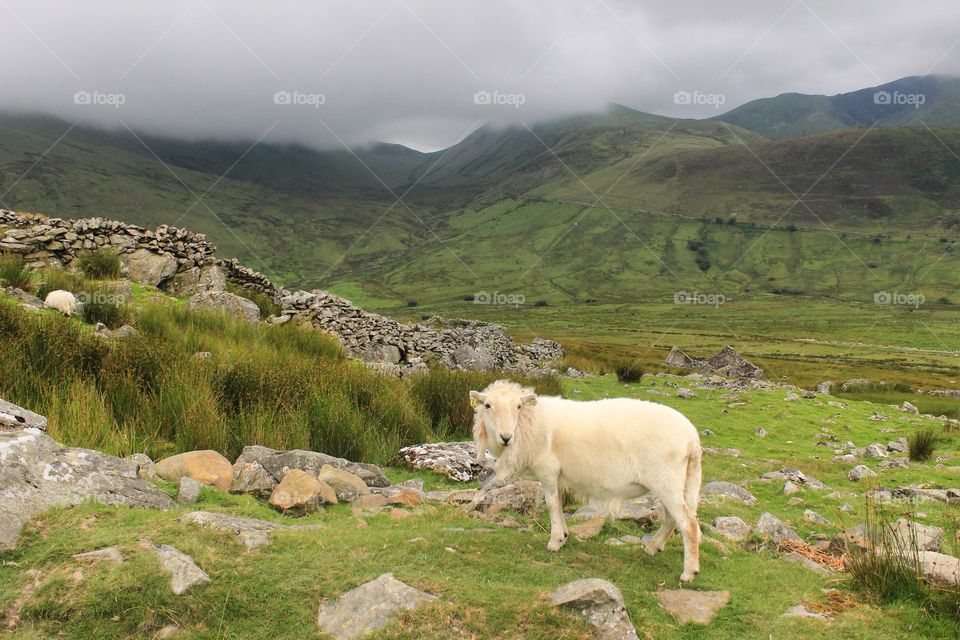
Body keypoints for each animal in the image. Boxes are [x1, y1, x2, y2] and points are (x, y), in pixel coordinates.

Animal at [470, 379, 703, 583]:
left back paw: (689, 572)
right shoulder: (559, 476)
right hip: (672, 483)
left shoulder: (548, 472)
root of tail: (692, 438)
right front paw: (564, 536)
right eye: (488, 405)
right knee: (672, 519)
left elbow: (552, 505)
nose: (506, 437)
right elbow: (559, 505)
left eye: (518, 406)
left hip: (667, 480)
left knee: (688, 523)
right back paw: (653, 547)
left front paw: (555, 541)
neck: (530, 423)